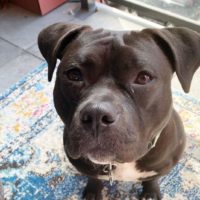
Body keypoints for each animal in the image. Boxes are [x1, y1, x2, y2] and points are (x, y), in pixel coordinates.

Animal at [38, 22, 200, 199]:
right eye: (74, 75)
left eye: (143, 77)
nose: (96, 114)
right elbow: (93, 178)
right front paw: (93, 191)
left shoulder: (160, 168)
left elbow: (152, 179)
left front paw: (150, 192)